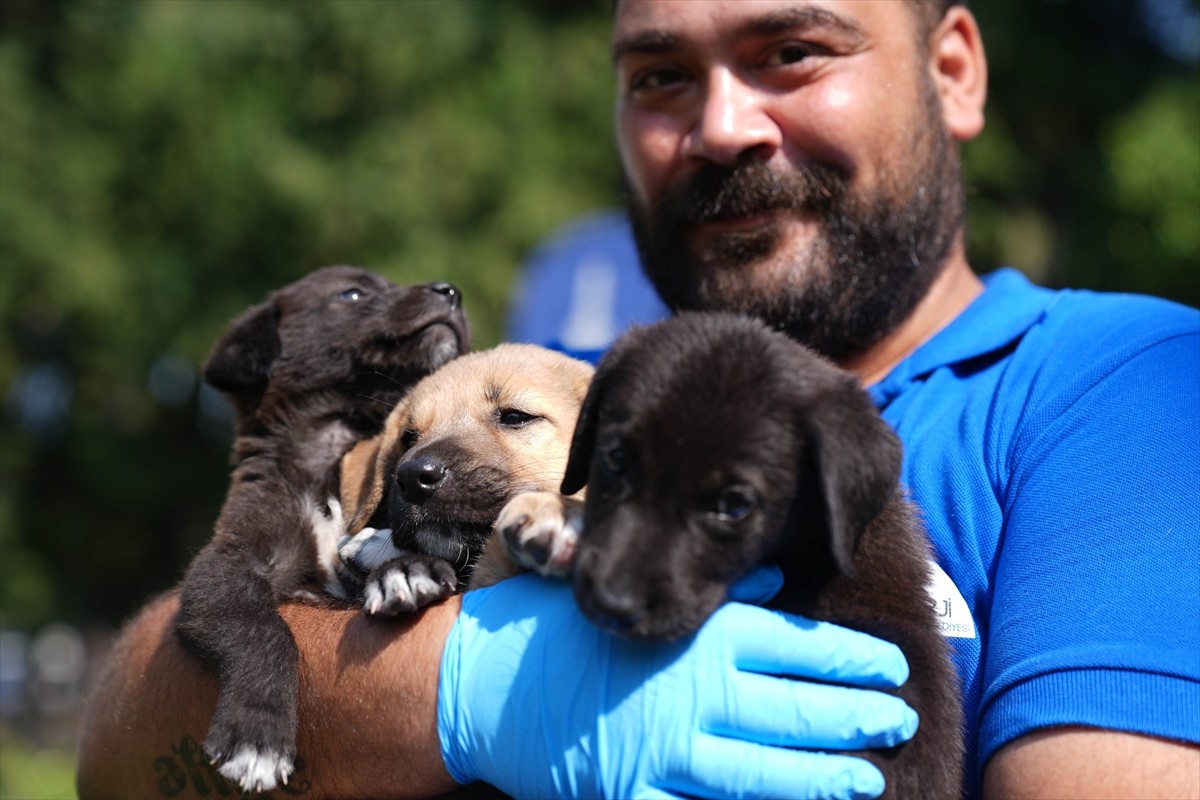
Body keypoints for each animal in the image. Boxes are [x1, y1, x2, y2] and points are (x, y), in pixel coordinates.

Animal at [175, 267, 465, 796]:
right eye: (352, 293)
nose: (451, 291)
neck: (335, 452)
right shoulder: (229, 561)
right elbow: (263, 629)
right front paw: (256, 736)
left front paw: (406, 570)